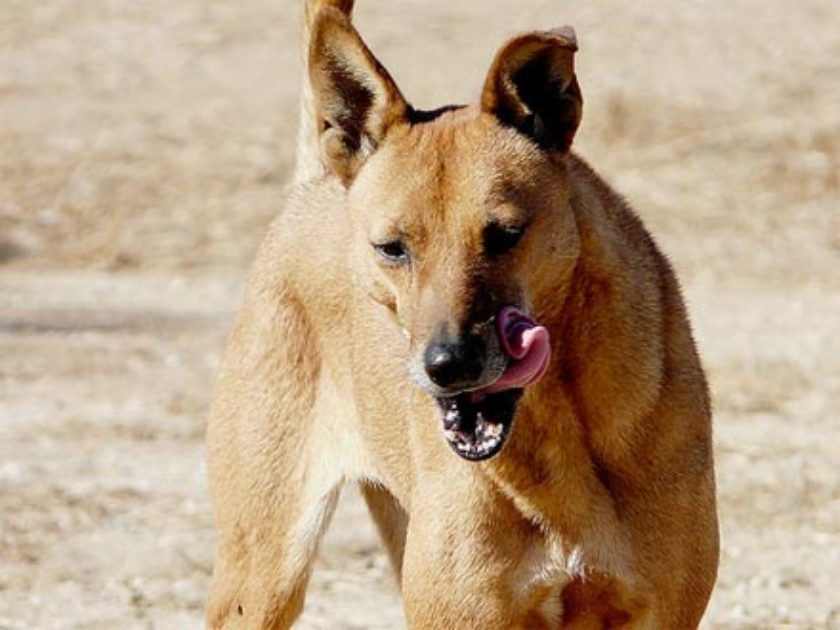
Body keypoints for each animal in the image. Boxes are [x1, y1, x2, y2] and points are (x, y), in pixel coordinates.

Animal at [207, 1, 720, 628]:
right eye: (392, 248)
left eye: (505, 234)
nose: (447, 365)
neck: (556, 431)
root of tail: (314, 184)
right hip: (260, 576)